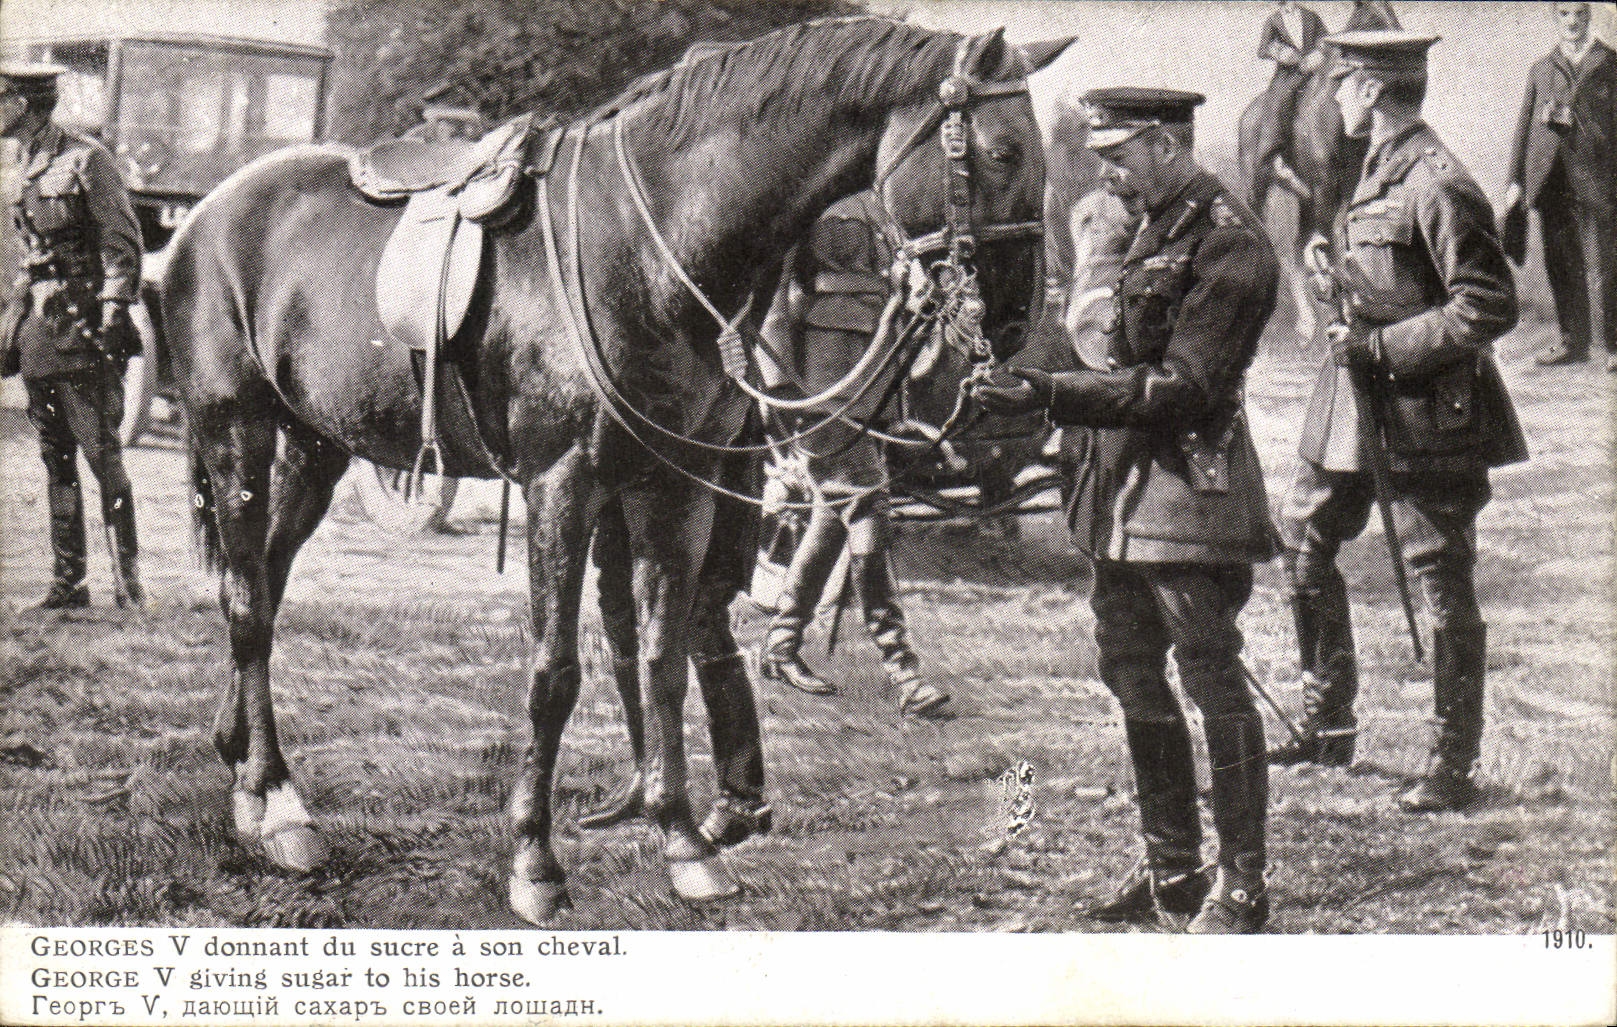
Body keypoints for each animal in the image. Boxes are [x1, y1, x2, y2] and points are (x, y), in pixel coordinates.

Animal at [162, 16, 1063, 925]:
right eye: (1000, 152)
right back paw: (280, 806)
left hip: (317, 446)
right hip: (235, 429)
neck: (645, 240)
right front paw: (533, 859)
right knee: (248, 604)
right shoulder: (562, 484)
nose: (1015, 320)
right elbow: (554, 671)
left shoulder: (677, 487)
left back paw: (244, 770)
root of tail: (208, 213)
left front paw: (683, 840)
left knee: (261, 585)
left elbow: (663, 659)